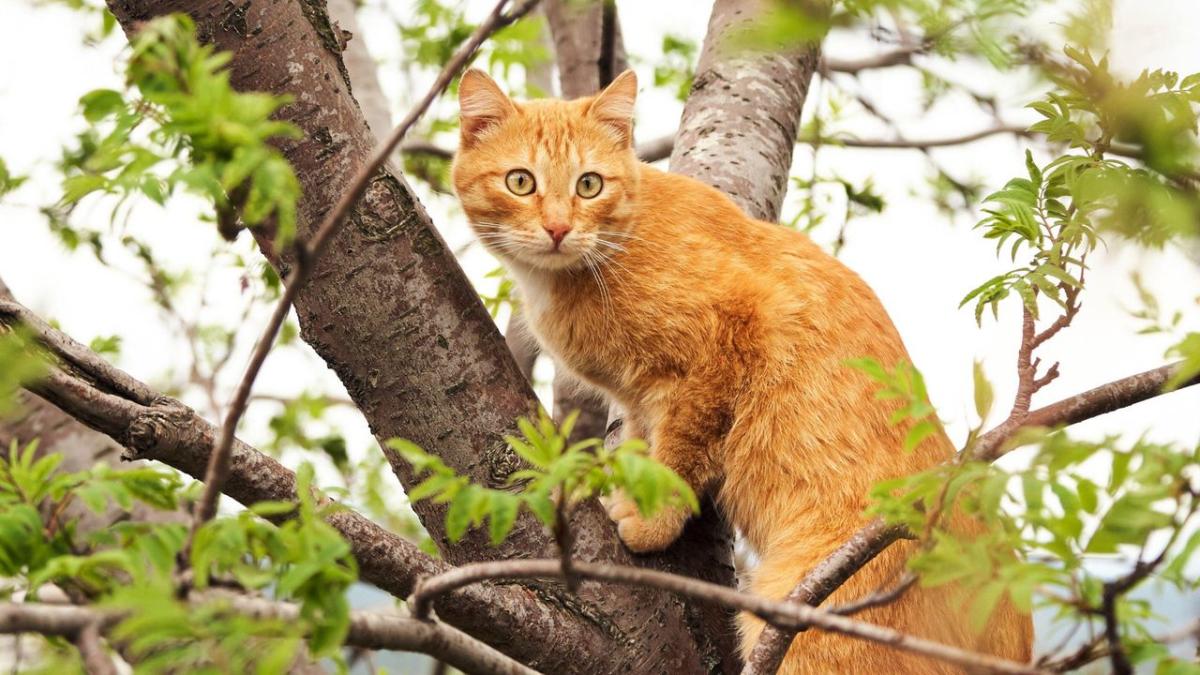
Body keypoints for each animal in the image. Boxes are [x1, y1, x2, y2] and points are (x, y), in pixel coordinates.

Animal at [451, 66, 1032, 667]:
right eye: (521, 182)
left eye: (589, 185)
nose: (558, 228)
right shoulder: (639, 397)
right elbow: (641, 440)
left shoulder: (729, 337)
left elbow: (682, 451)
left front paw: (652, 520)